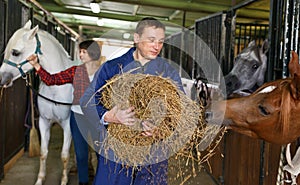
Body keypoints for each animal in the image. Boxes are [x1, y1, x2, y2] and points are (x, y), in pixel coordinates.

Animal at [0, 20, 74, 185]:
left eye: (15, 52)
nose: (1, 79)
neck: (57, 87)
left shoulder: (68, 125)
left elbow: (65, 155)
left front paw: (64, 180)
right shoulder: (44, 122)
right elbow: (43, 153)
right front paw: (40, 179)